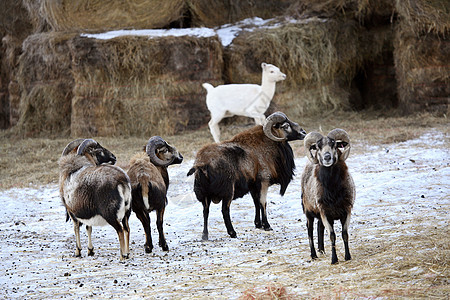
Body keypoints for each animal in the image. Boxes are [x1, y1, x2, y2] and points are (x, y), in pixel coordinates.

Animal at [186, 111, 306, 240]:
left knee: (205, 211)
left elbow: (256, 203)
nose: (303, 133)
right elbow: (263, 203)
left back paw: (205, 235)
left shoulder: (253, 186)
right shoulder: (263, 182)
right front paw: (267, 226)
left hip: (204, 195)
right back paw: (232, 233)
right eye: (286, 126)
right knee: (224, 210)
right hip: (227, 191)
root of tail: (201, 165)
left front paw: (258, 224)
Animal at [302, 127, 356, 264]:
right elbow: (332, 236)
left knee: (319, 227)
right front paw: (334, 260)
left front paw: (347, 257)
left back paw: (321, 250)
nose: (327, 157)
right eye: (318, 146)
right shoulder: (325, 213)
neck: (332, 189)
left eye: (334, 144)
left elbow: (344, 234)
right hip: (308, 212)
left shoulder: (346, 210)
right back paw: (314, 255)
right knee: (310, 231)